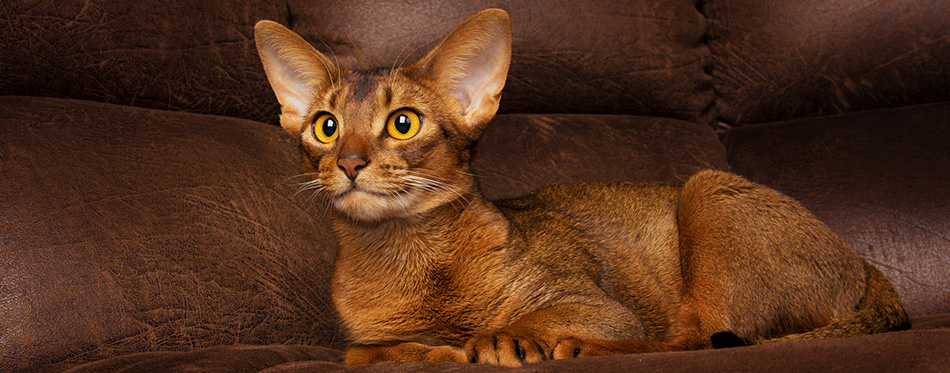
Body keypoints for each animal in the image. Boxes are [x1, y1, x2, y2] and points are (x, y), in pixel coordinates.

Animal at [256, 8, 912, 366]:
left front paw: (496, 342)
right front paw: (438, 347)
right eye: (325, 126)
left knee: (701, 340)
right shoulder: (362, 340)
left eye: (403, 123)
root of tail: (863, 263)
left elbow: (524, 321)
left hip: (707, 189)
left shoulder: (599, 307)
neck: (410, 259)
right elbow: (365, 352)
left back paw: (579, 351)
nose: (350, 163)